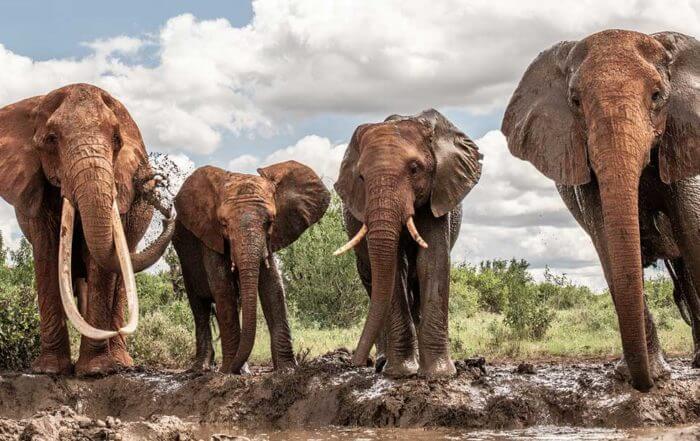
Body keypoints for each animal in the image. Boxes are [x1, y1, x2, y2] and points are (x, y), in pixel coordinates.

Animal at [0, 82, 174, 374]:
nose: (167, 211)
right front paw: (49, 370)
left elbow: (101, 263)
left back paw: (121, 363)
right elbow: (46, 252)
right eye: (51, 139)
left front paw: (96, 371)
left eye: (116, 139)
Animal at [174, 160, 330, 372]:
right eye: (224, 224)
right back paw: (202, 368)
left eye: (270, 222)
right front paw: (230, 372)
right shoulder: (209, 234)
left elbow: (273, 287)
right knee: (200, 307)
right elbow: (223, 288)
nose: (231, 368)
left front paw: (287, 369)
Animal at [334, 106, 482, 374]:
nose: (356, 361)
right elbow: (393, 269)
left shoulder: (438, 190)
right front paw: (401, 373)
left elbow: (432, 261)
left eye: (415, 169)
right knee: (374, 285)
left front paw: (438, 375)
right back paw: (385, 362)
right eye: (361, 177)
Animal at [504, 29, 700, 390]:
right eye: (576, 102)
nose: (644, 384)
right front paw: (647, 376)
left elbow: (692, 232)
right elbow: (607, 242)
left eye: (657, 96)